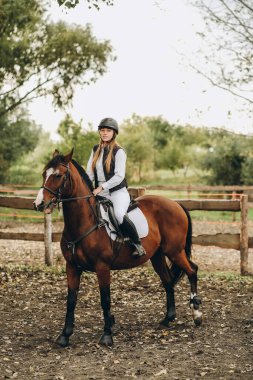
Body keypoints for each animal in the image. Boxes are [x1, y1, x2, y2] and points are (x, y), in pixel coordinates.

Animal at [33, 150, 203, 346]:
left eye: (58, 175)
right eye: (44, 174)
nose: (39, 204)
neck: (85, 222)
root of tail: (176, 204)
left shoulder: (102, 267)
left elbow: (105, 299)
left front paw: (107, 335)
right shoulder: (72, 267)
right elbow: (71, 300)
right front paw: (65, 335)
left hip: (174, 252)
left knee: (192, 271)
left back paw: (197, 314)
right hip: (157, 256)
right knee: (168, 281)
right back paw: (168, 318)